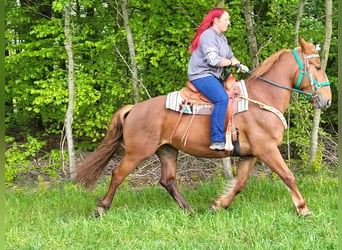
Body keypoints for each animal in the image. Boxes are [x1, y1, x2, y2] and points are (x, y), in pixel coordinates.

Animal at [75, 38, 332, 217]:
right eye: (318, 66)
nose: (327, 100)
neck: (263, 97)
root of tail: (134, 108)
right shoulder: (266, 149)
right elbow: (288, 176)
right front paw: (303, 208)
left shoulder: (250, 154)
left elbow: (239, 184)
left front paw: (218, 205)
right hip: (137, 152)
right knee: (118, 174)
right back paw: (101, 208)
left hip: (167, 150)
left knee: (168, 180)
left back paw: (188, 209)